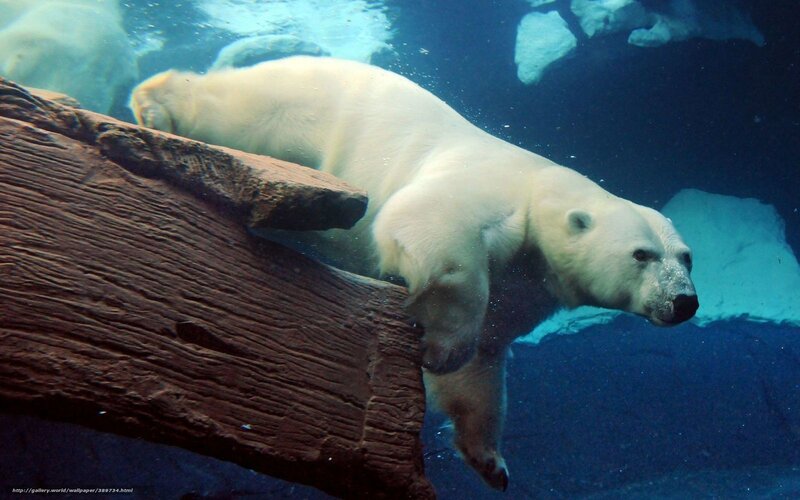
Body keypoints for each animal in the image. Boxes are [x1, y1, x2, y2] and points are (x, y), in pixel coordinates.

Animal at [129, 56, 698, 490]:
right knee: (231, 107)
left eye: (687, 257)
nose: (685, 302)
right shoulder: (495, 193)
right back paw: (155, 102)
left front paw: (491, 462)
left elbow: (486, 362)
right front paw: (442, 345)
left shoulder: (528, 285)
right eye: (642, 254)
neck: (542, 192)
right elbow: (429, 222)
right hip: (300, 103)